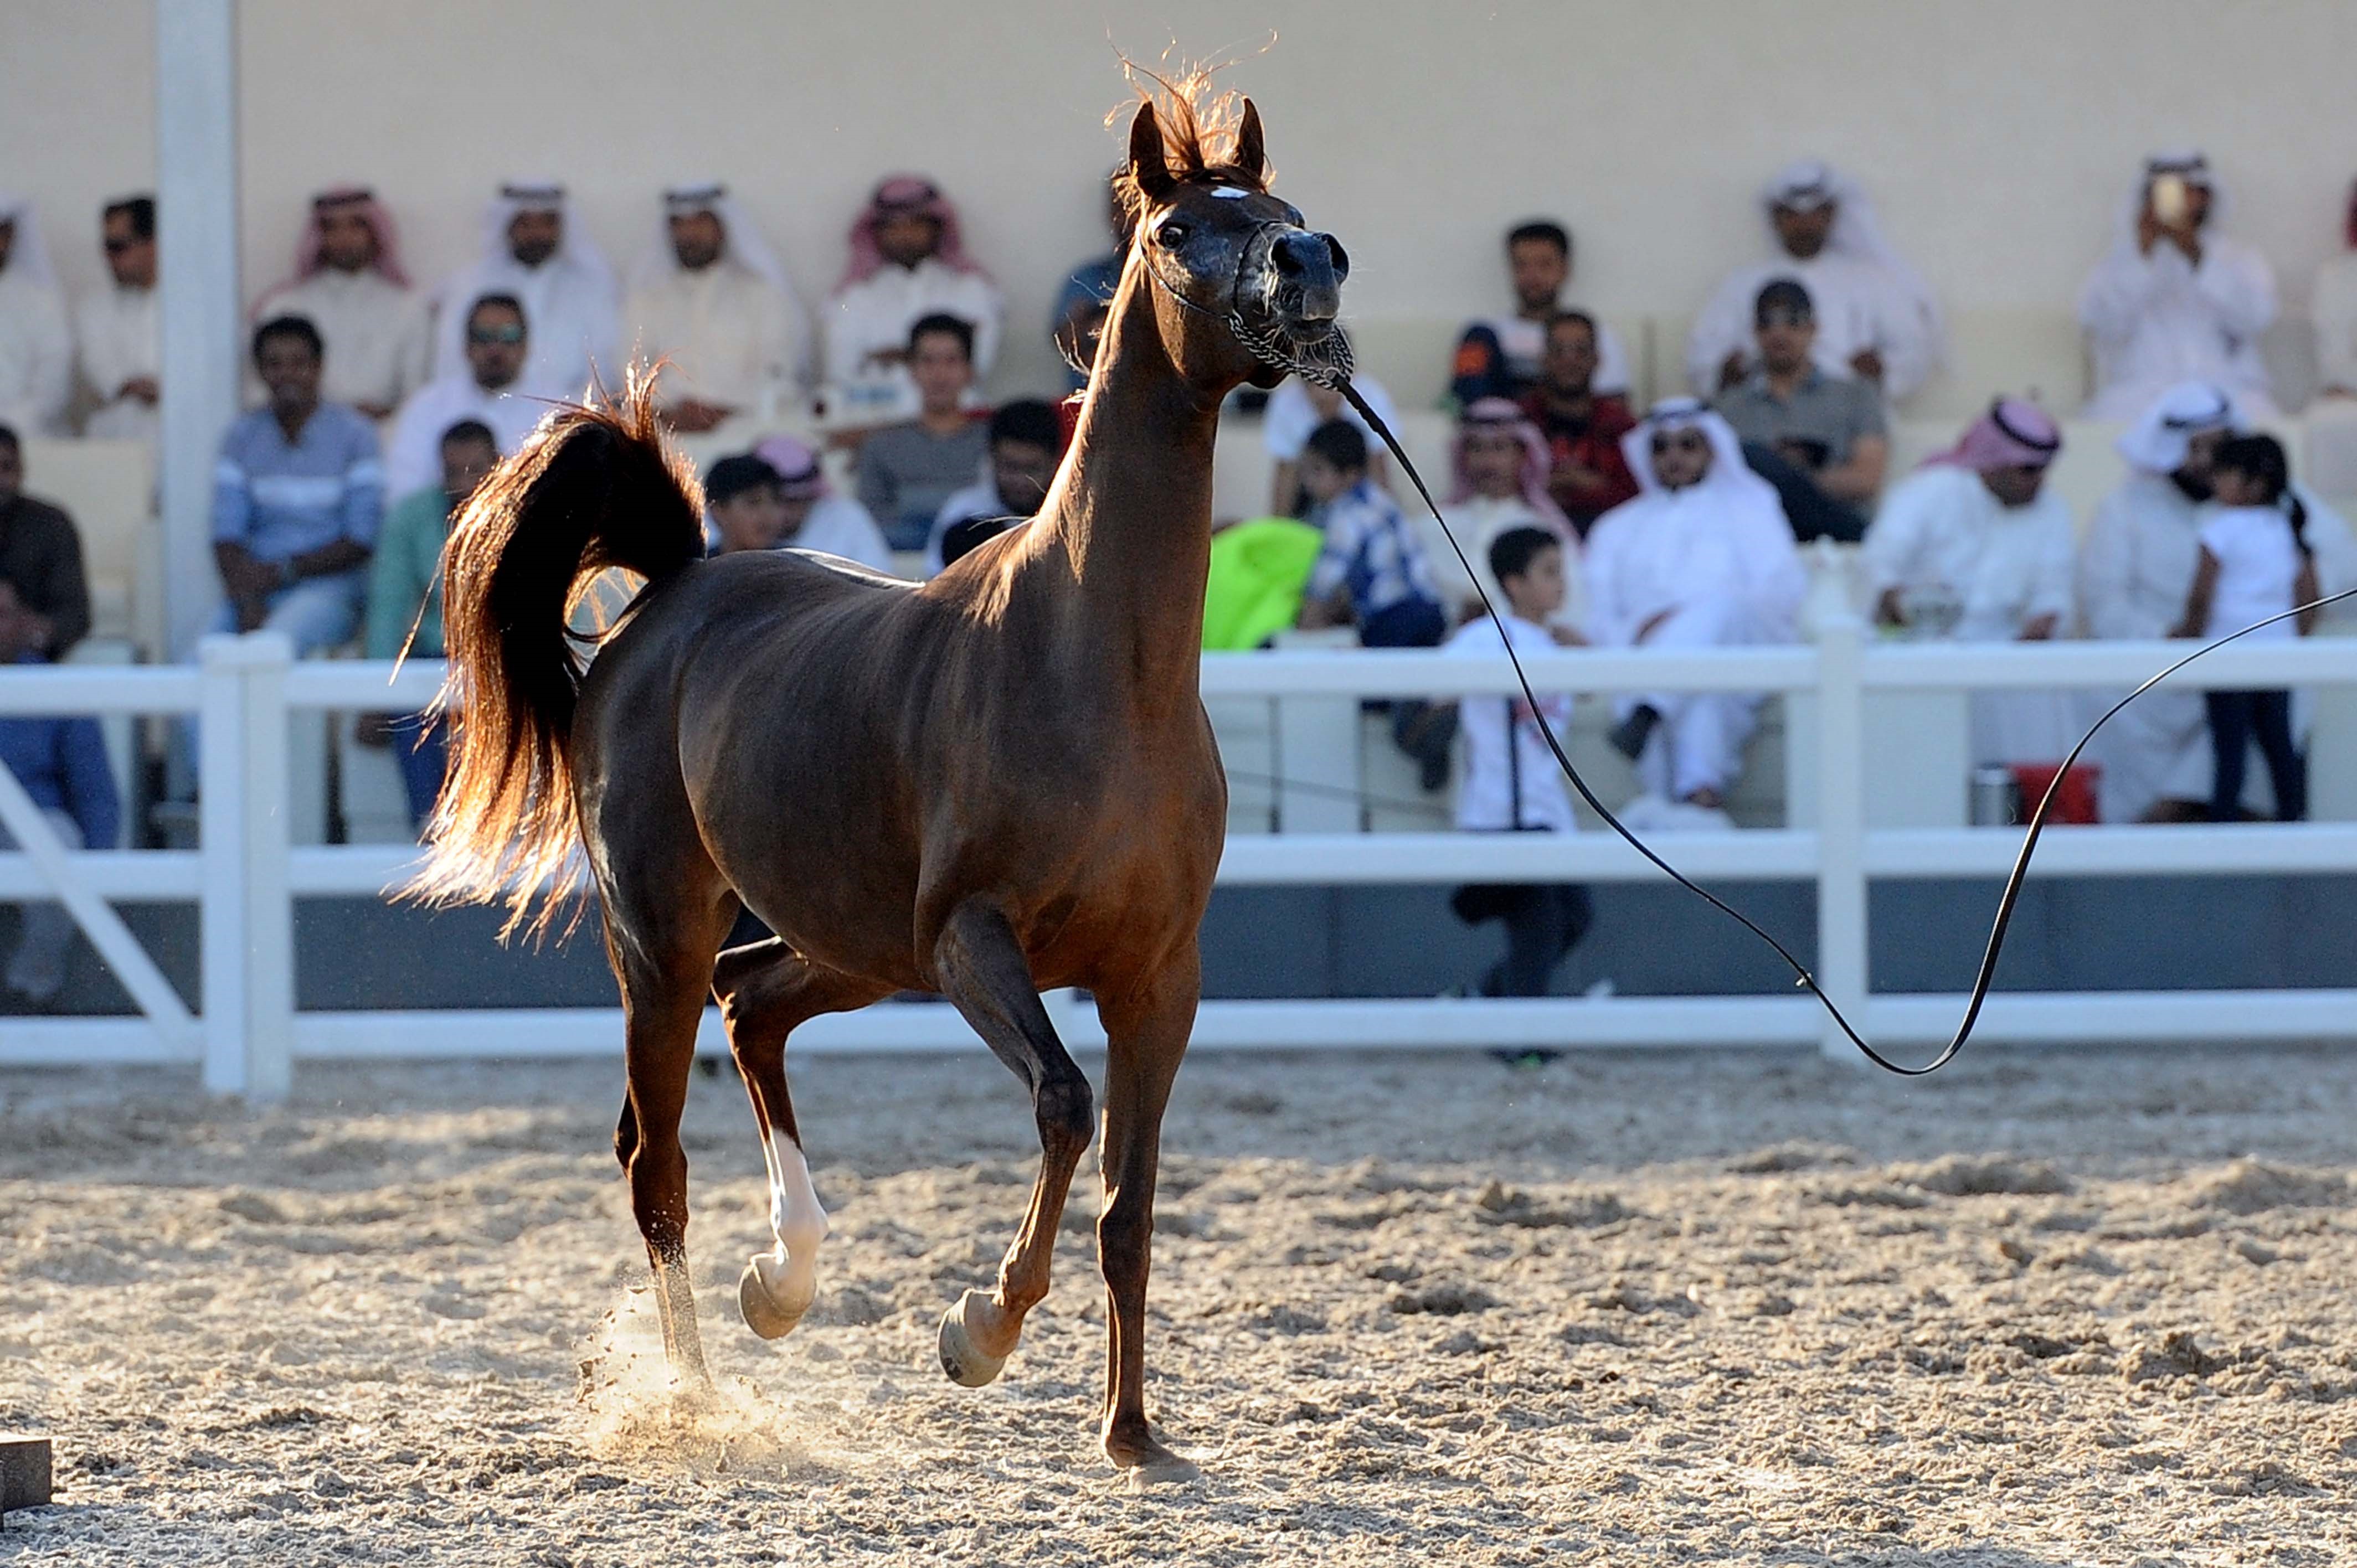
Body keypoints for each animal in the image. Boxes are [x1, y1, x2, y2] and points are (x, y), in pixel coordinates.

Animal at [417, 79, 1349, 1482]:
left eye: (1284, 207)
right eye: (1181, 230)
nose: (1314, 265)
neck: (1093, 667)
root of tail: (673, 593)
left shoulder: (1157, 978)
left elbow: (1131, 1205)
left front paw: (1134, 1436)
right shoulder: (975, 940)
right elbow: (1065, 1106)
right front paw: (980, 1329)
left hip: (853, 946)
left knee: (754, 1010)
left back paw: (784, 1282)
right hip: (669, 937)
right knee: (655, 1154)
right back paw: (698, 1394)